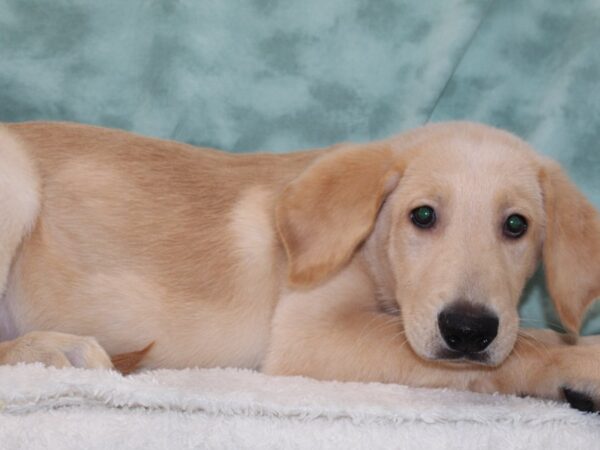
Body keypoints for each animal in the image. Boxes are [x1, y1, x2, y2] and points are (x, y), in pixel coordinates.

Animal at [0, 121, 596, 414]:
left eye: (516, 225)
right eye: (422, 215)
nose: (469, 329)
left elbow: (521, 341)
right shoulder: (309, 333)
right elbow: (501, 358)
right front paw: (577, 361)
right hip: (15, 181)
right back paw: (55, 350)